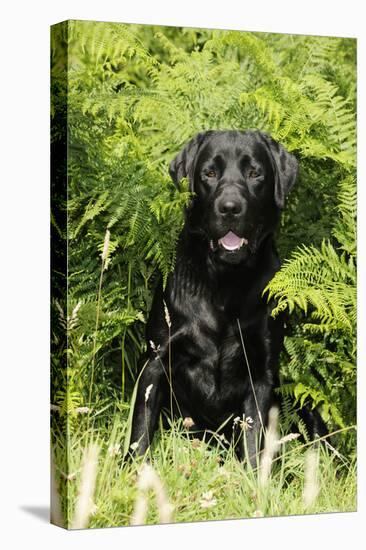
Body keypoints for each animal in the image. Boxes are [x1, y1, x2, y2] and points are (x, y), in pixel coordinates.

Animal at [131, 129, 324, 466]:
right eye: (209, 173)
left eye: (255, 173)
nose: (230, 207)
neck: (225, 282)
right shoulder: (155, 359)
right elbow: (141, 430)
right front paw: (131, 471)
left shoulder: (261, 373)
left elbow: (253, 439)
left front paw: (253, 478)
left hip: (305, 404)